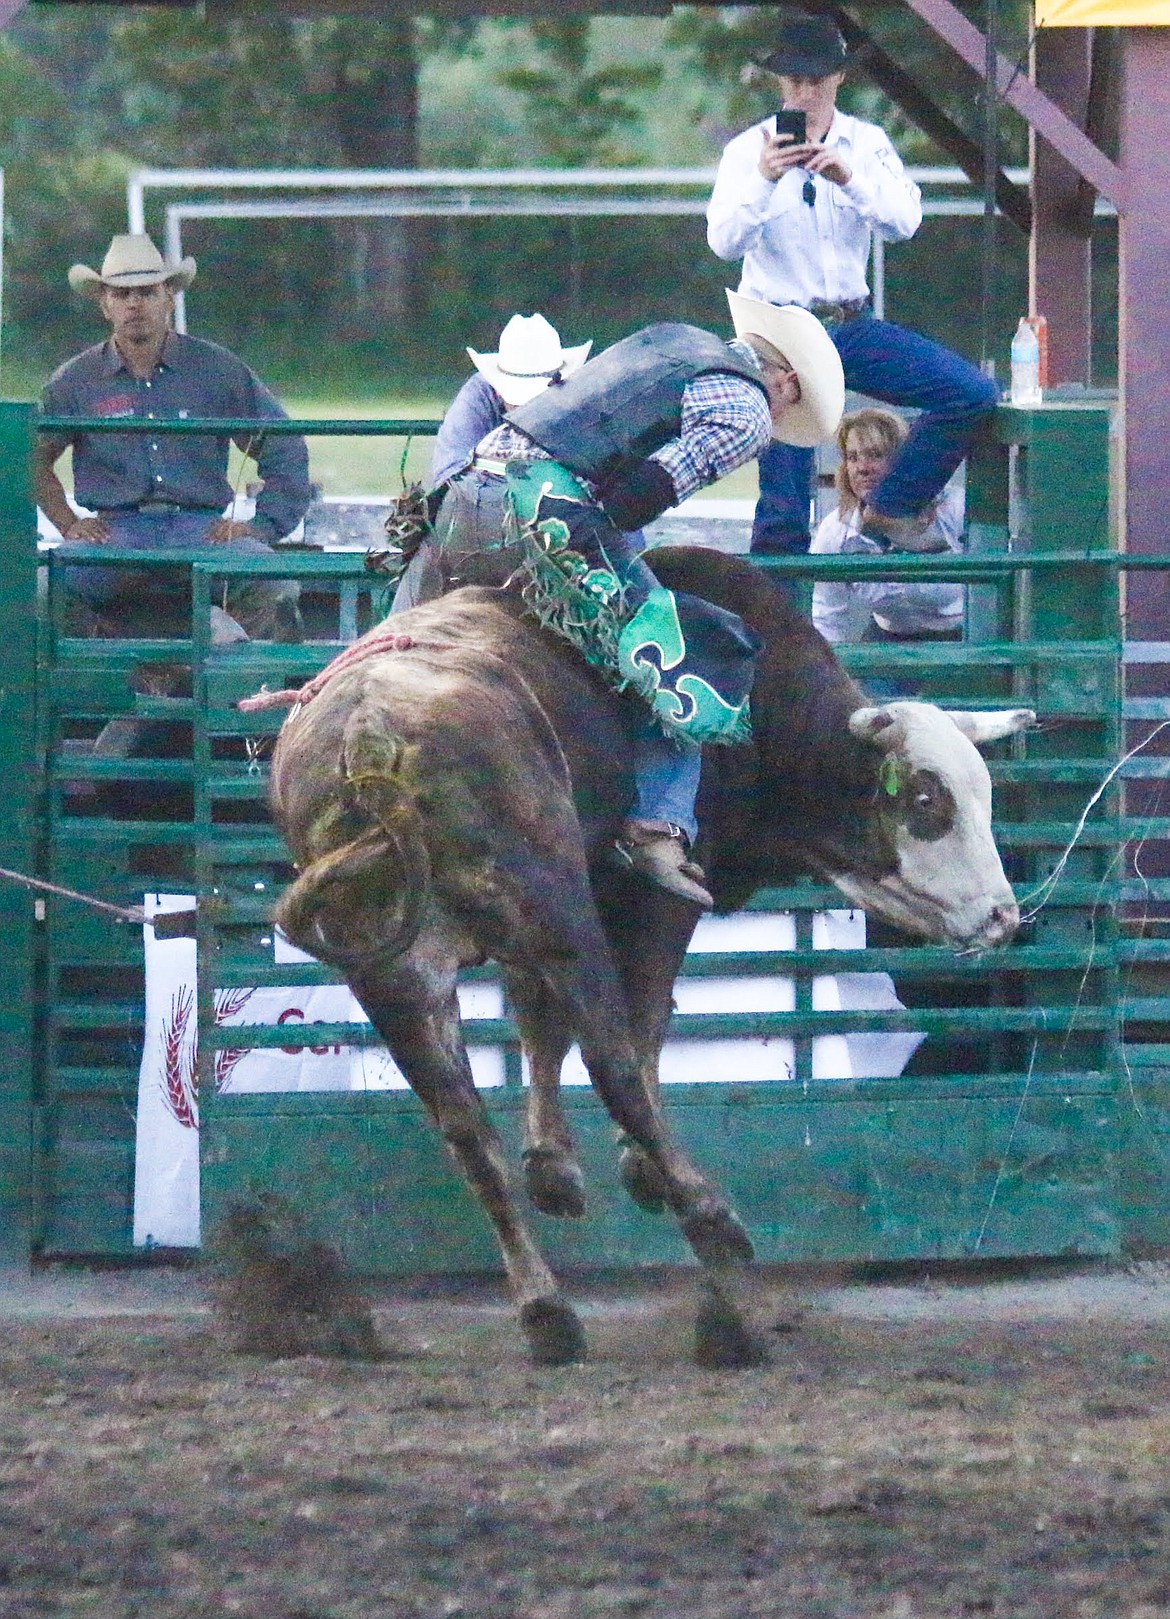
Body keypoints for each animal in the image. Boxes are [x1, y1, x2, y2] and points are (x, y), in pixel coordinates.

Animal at [255, 547, 1035, 1366]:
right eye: (925, 800)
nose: (1003, 916)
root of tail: (372, 738)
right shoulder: (656, 898)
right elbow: (645, 1019)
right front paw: (636, 1165)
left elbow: (538, 1023)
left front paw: (555, 1167)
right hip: (558, 910)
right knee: (612, 1059)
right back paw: (709, 1219)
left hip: (398, 972)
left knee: (466, 1131)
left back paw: (548, 1310)